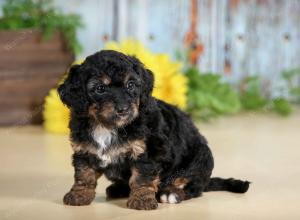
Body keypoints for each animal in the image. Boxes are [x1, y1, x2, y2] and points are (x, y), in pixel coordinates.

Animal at [58, 49, 248, 210]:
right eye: (100, 89)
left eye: (131, 85)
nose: (123, 109)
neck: (106, 126)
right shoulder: (84, 150)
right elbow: (84, 174)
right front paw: (79, 194)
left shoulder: (147, 152)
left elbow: (142, 177)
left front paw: (141, 200)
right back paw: (118, 189)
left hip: (200, 158)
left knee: (191, 184)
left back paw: (171, 192)